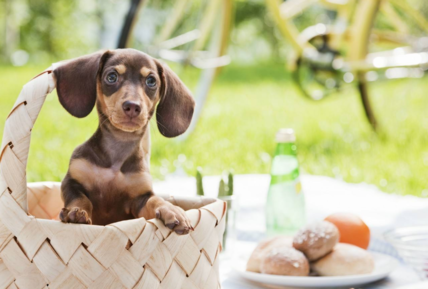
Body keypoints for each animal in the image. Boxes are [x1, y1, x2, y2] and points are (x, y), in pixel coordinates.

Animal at [54, 49, 196, 234]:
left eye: (151, 81)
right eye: (111, 77)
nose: (133, 106)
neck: (119, 146)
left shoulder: (140, 200)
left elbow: (155, 200)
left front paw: (172, 210)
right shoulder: (71, 182)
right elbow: (80, 198)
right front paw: (77, 212)